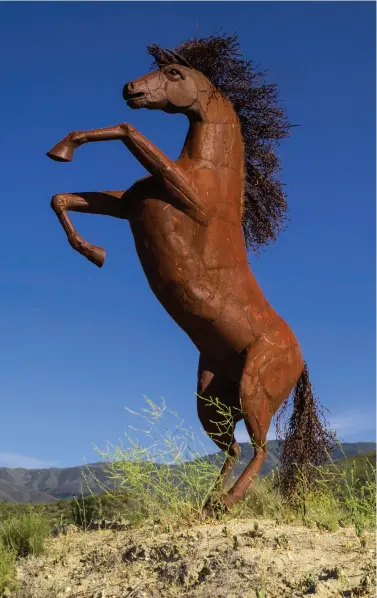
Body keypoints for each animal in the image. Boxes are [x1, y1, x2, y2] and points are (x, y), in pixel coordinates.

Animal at [45, 35, 314, 512]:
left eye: (174, 73)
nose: (129, 88)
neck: (209, 177)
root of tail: (301, 362)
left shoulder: (187, 198)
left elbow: (126, 130)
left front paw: (63, 150)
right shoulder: (129, 204)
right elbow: (63, 198)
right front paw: (94, 253)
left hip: (256, 387)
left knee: (262, 448)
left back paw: (227, 502)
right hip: (211, 399)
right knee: (234, 448)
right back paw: (208, 501)